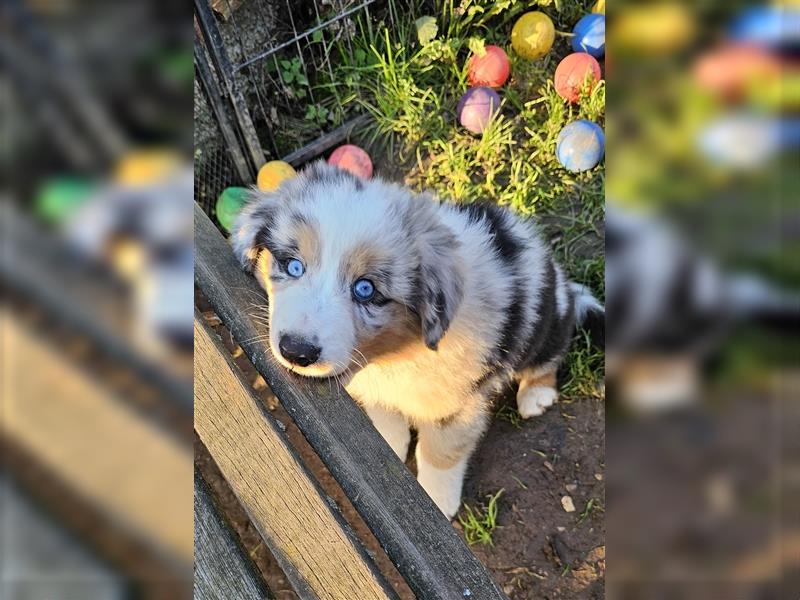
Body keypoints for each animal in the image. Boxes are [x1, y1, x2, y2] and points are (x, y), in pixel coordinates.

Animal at [231, 162, 600, 516]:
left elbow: (439, 454)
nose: (296, 351)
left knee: (549, 355)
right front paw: (390, 448)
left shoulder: (456, 405)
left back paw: (536, 395)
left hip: (544, 325)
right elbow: (386, 420)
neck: (396, 353)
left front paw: (438, 501)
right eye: (293, 266)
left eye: (365, 289)